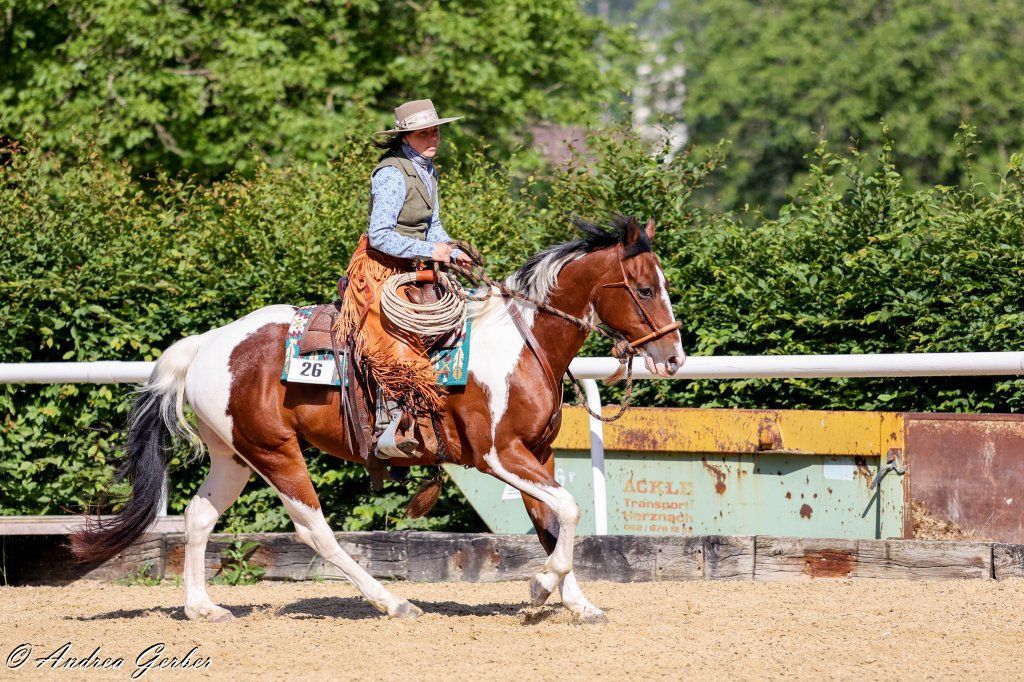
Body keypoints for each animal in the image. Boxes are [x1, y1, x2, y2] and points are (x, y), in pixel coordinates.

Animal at [71, 214, 684, 623]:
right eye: (645, 287)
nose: (674, 356)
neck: (519, 347)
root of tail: (206, 345)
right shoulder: (499, 455)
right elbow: (570, 510)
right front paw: (538, 589)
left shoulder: (539, 453)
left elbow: (552, 522)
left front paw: (577, 603)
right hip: (275, 453)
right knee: (314, 530)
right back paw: (391, 601)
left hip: (235, 455)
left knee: (199, 517)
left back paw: (202, 608)